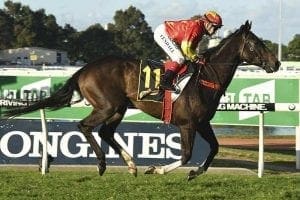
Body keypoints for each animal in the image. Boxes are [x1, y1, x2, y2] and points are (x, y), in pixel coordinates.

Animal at [2, 21, 280, 180]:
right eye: (255, 44)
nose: (276, 63)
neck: (206, 77)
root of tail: (84, 69)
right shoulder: (187, 124)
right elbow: (186, 154)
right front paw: (157, 169)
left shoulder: (203, 123)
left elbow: (214, 149)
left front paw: (195, 173)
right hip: (107, 106)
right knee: (85, 127)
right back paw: (103, 164)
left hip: (119, 108)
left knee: (105, 132)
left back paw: (131, 165)